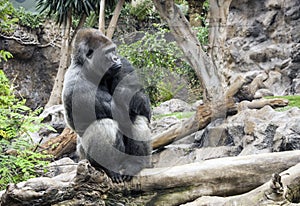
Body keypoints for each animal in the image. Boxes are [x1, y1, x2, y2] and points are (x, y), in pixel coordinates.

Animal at [63, 28, 152, 183]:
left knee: (137, 117)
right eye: (107, 53)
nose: (116, 58)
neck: (86, 67)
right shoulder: (79, 87)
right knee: (106, 124)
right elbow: (119, 111)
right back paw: (109, 168)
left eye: (114, 50)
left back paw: (135, 163)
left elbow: (136, 101)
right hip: (85, 158)